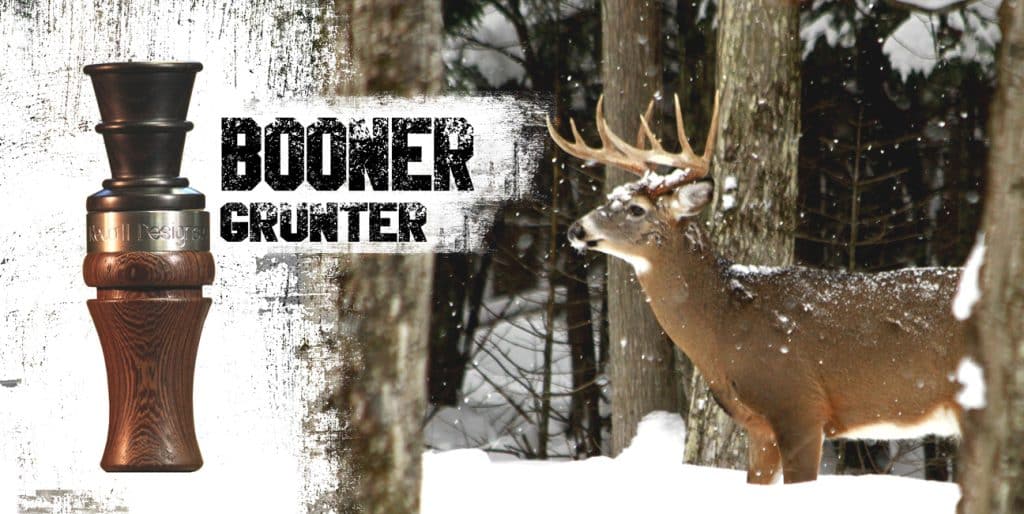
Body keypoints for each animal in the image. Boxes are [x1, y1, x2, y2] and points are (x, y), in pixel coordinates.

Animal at [547, 92, 967, 484]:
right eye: (610, 197)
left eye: (637, 209)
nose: (576, 229)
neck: (726, 327)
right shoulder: (758, 426)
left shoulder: (798, 405)